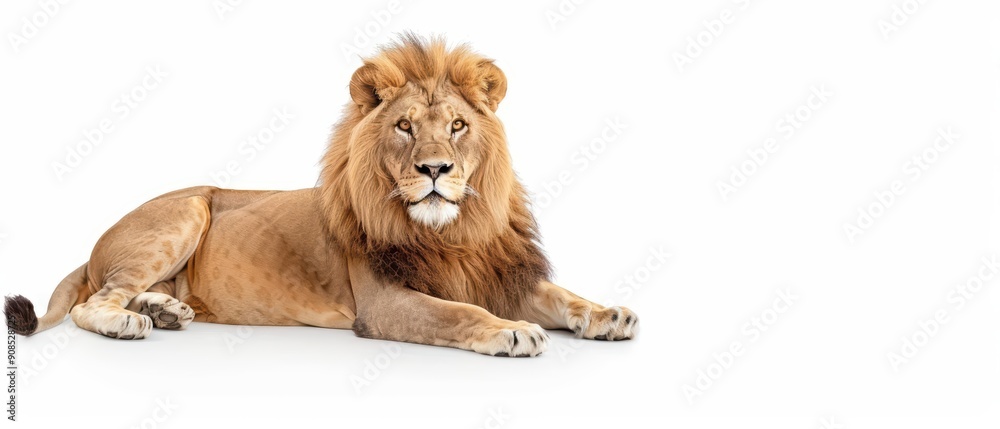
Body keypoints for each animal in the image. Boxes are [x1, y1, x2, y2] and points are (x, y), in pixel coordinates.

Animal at [4, 35, 638, 356]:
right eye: (405, 126)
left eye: (457, 125)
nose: (436, 169)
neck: (451, 232)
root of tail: (93, 244)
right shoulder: (385, 302)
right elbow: (458, 313)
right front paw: (511, 330)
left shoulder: (494, 270)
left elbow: (562, 295)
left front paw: (607, 314)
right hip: (185, 211)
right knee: (93, 302)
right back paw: (130, 323)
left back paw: (164, 310)